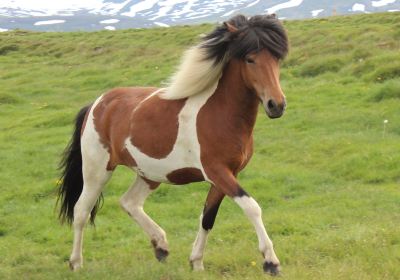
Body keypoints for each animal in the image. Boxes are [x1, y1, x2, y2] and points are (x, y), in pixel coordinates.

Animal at [57, 13, 288, 276]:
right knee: (81, 211)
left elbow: (207, 217)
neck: (220, 113)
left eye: (277, 57)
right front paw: (271, 262)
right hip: (97, 171)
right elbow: (252, 207)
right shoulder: (217, 172)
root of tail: (96, 104)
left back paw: (161, 246)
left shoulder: (227, 174)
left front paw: (196, 262)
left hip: (149, 174)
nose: (276, 105)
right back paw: (76, 263)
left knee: (129, 202)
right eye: (250, 59)